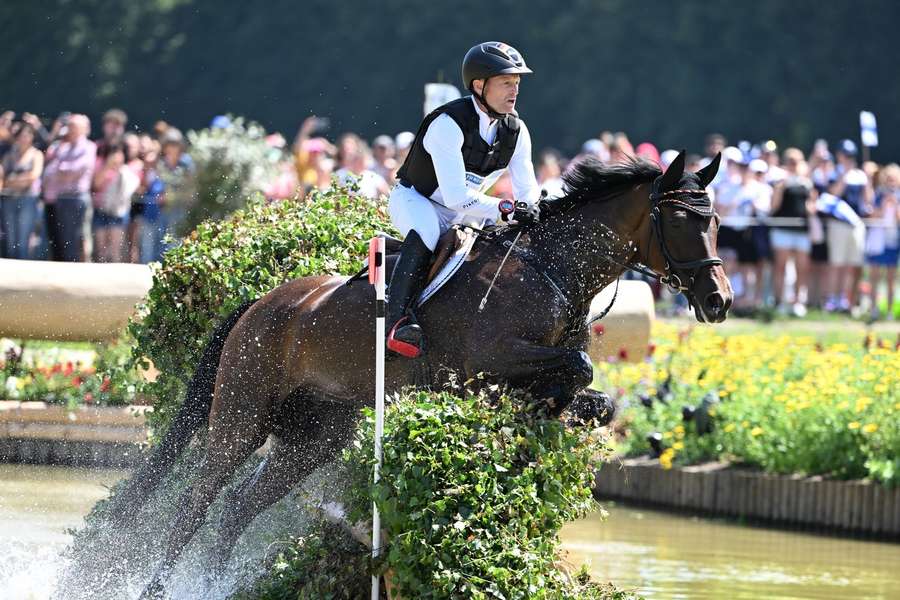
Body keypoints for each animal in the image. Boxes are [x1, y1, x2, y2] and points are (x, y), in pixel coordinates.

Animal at [126, 149, 732, 596]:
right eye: (682, 220)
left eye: (718, 222)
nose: (719, 301)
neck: (552, 269)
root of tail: (260, 303)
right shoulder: (493, 357)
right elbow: (578, 368)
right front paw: (541, 409)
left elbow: (596, 397)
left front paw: (545, 415)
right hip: (243, 415)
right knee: (195, 502)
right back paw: (158, 586)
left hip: (314, 437)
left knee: (235, 510)